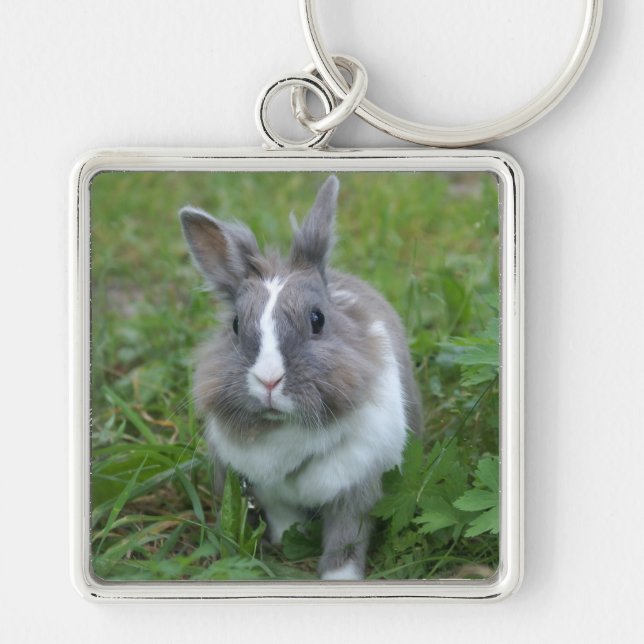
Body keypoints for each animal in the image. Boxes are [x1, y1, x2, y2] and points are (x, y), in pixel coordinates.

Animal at [180, 175, 422, 580]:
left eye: (317, 319)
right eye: (235, 325)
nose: (269, 381)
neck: (288, 430)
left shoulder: (356, 489)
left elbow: (346, 538)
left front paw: (340, 579)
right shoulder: (268, 492)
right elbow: (284, 519)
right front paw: (289, 541)